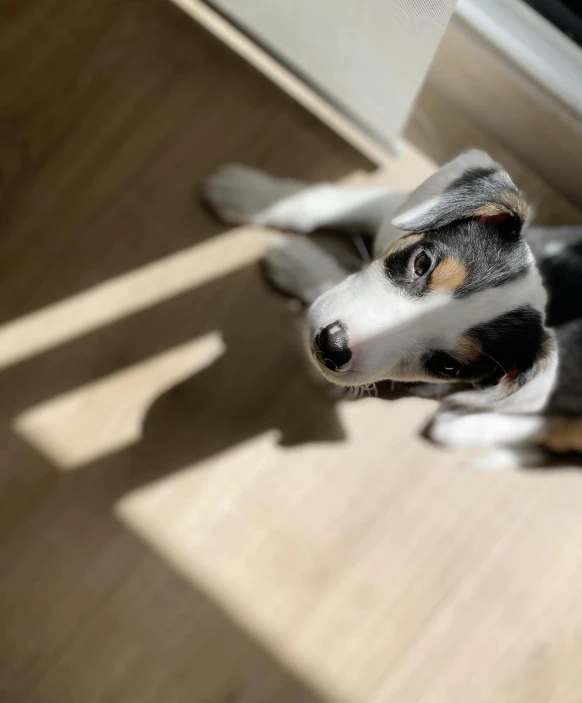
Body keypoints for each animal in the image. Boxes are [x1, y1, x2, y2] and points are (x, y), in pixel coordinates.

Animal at [204, 150, 582, 468]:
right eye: (422, 262)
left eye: (447, 366)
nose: (331, 348)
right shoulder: (400, 209)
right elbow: (330, 202)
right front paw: (247, 193)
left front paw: (300, 263)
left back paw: (463, 426)